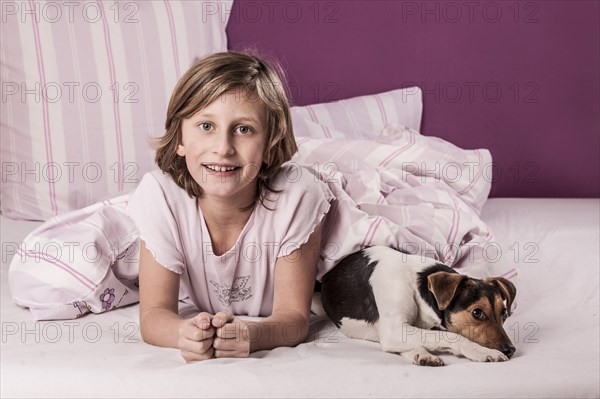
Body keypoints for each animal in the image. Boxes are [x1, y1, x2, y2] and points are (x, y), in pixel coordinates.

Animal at [318, 247, 516, 368]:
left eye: (504, 313)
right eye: (477, 312)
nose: (511, 350)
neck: (415, 282)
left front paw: (421, 354)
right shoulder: (394, 330)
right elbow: (450, 336)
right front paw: (482, 352)